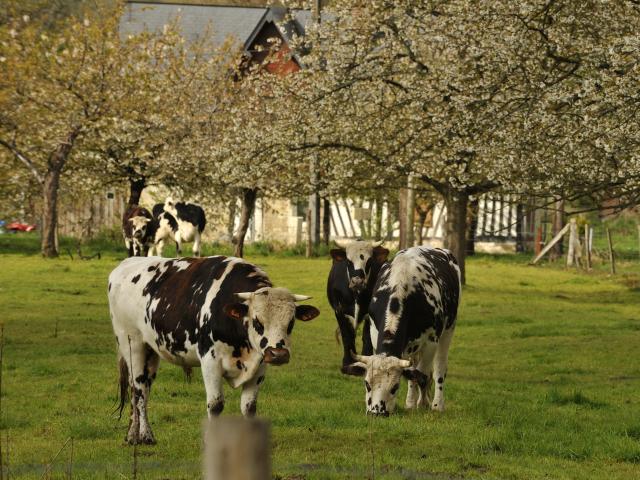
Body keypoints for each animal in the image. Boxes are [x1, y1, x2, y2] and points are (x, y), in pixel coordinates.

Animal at [109, 256, 324, 444]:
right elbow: (215, 404)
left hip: (151, 351)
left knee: (141, 388)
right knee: (139, 389)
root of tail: (125, 264)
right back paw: (145, 436)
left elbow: (249, 406)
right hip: (132, 344)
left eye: (291, 323)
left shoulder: (260, 365)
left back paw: (132, 435)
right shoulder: (210, 361)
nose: (278, 354)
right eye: (257, 321)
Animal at [328, 240, 388, 376]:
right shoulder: (339, 311)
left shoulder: (370, 314)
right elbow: (347, 336)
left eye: (369, 261)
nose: (357, 282)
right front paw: (348, 364)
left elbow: (367, 338)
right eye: (348, 262)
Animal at [350, 246, 460, 414]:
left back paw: (437, 404)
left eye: (395, 388)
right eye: (367, 384)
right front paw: (411, 403)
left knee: (439, 369)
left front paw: (423, 403)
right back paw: (411, 402)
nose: (377, 413)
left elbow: (422, 375)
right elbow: (413, 374)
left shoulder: (431, 342)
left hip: (448, 330)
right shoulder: (375, 333)